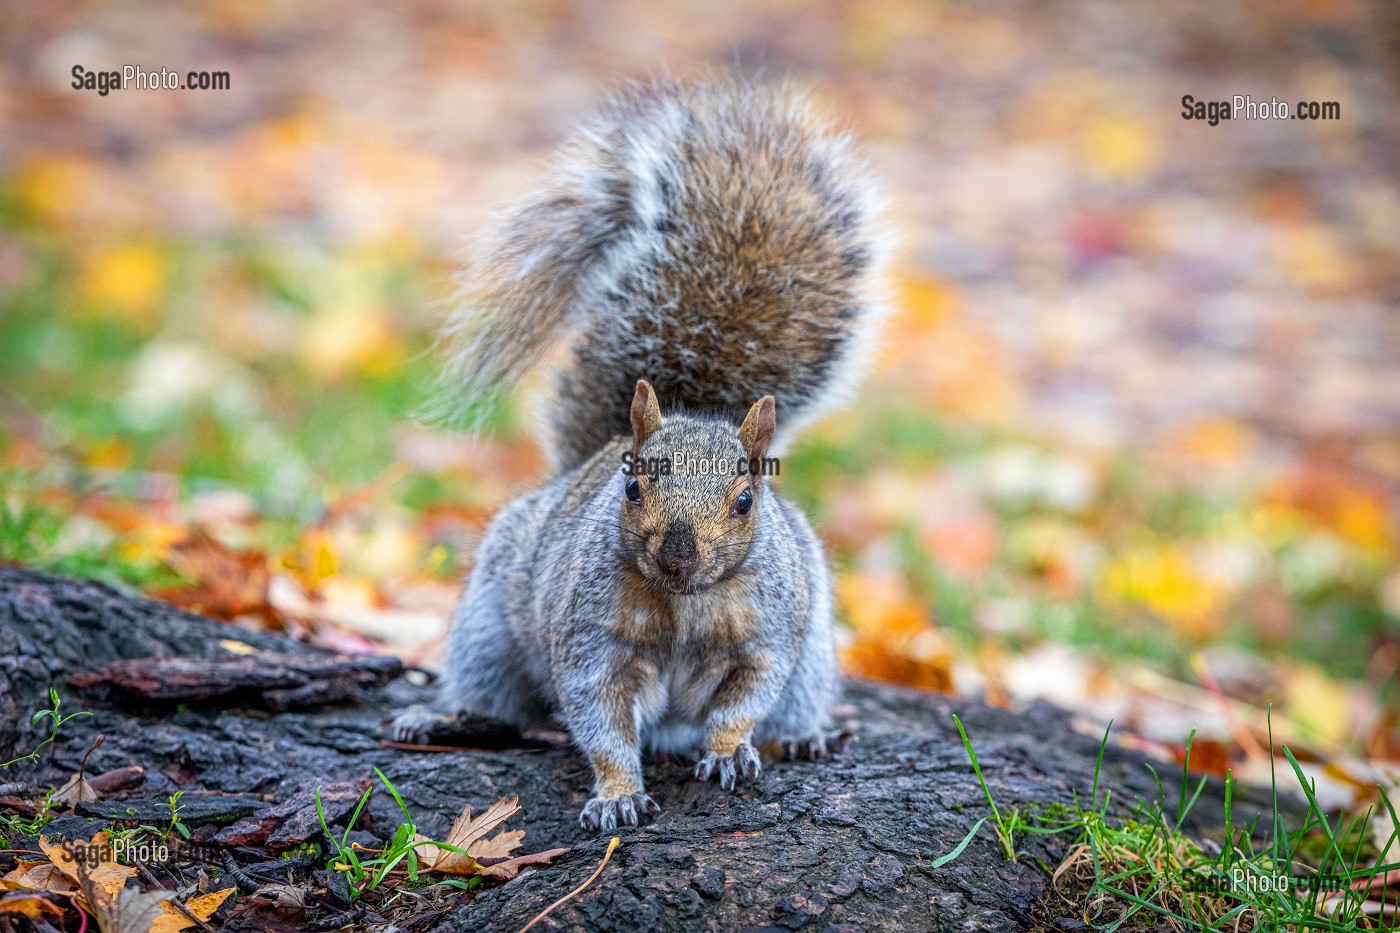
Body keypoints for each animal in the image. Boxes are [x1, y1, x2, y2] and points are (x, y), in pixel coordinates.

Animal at [392, 72, 896, 829]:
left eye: (746, 500)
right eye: (632, 486)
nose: (678, 554)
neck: (685, 604)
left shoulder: (770, 639)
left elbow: (745, 700)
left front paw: (727, 753)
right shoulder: (591, 645)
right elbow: (600, 720)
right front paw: (617, 795)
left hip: (813, 658)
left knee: (793, 702)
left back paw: (804, 737)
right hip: (487, 630)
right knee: (497, 702)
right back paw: (446, 719)